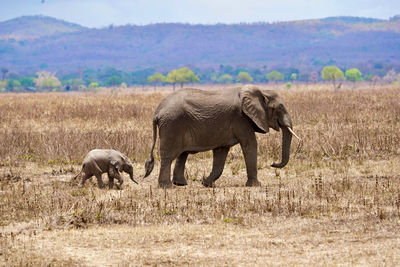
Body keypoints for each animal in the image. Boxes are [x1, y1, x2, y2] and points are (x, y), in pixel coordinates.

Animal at [143, 86, 296, 188]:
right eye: (280, 108)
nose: (273, 164)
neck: (261, 91)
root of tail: (157, 112)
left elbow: (221, 153)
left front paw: (206, 184)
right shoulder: (241, 119)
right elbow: (250, 144)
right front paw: (255, 185)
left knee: (182, 154)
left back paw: (180, 184)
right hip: (172, 125)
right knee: (168, 156)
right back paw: (167, 187)